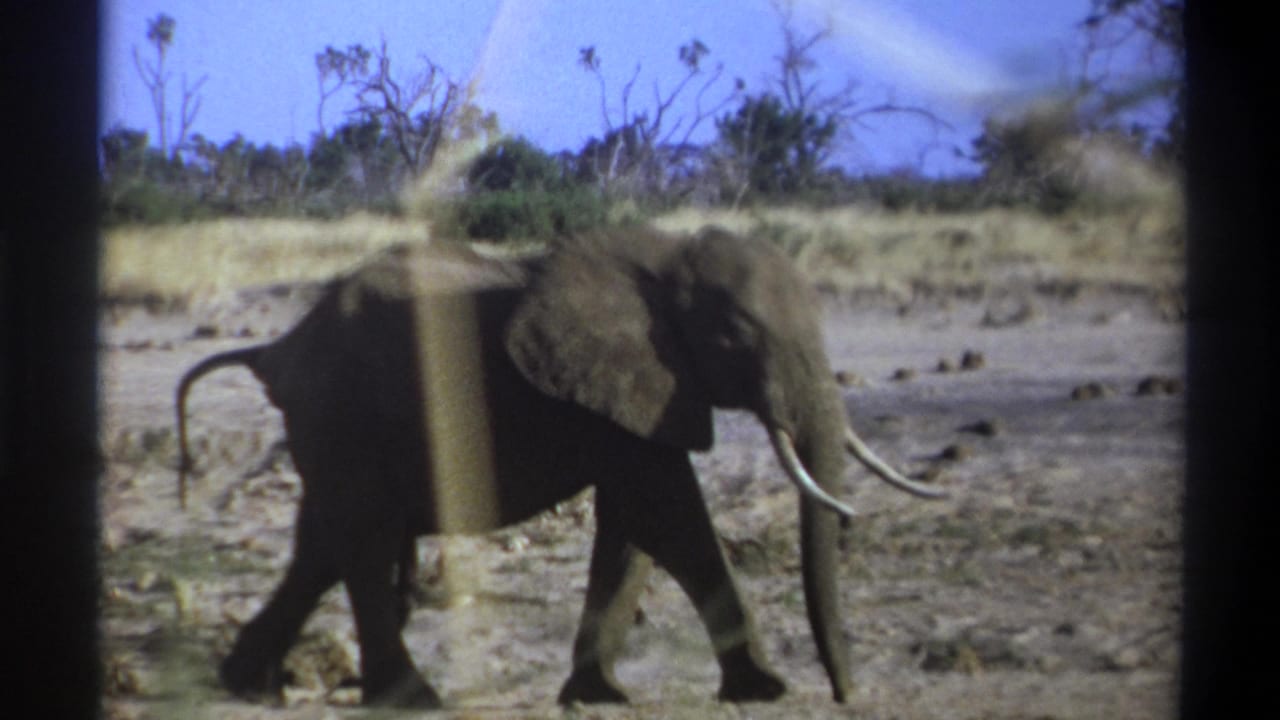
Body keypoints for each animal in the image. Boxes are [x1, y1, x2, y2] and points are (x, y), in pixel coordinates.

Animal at [175, 225, 946, 708]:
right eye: (734, 337)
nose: (847, 695)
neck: (670, 256)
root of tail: (276, 348)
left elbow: (635, 526)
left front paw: (599, 696)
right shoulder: (626, 386)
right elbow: (670, 515)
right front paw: (766, 690)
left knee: (323, 543)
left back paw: (245, 684)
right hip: (347, 417)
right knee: (359, 542)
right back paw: (413, 701)